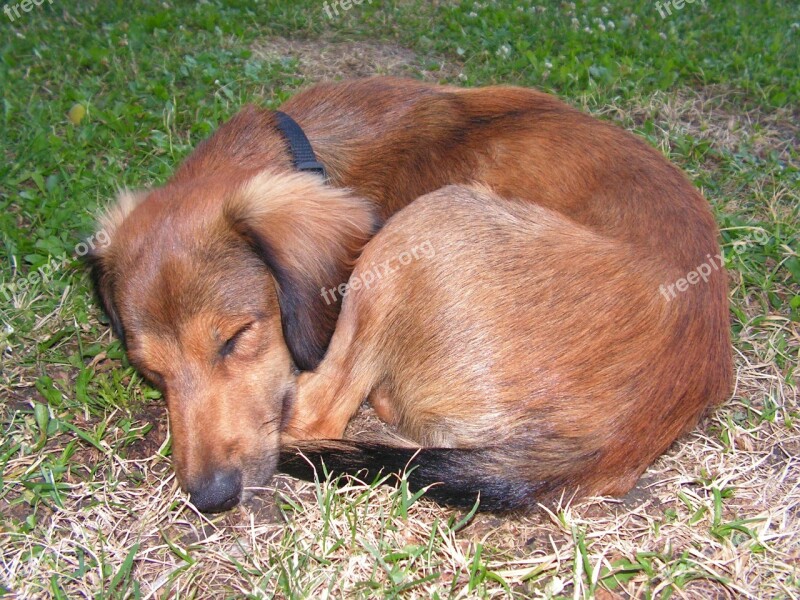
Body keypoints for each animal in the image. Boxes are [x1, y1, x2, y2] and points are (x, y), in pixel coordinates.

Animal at [87, 77, 732, 512]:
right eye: (149, 371)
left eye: (236, 338)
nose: (212, 498)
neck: (306, 152)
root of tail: (618, 437)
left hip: (424, 225)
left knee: (318, 412)